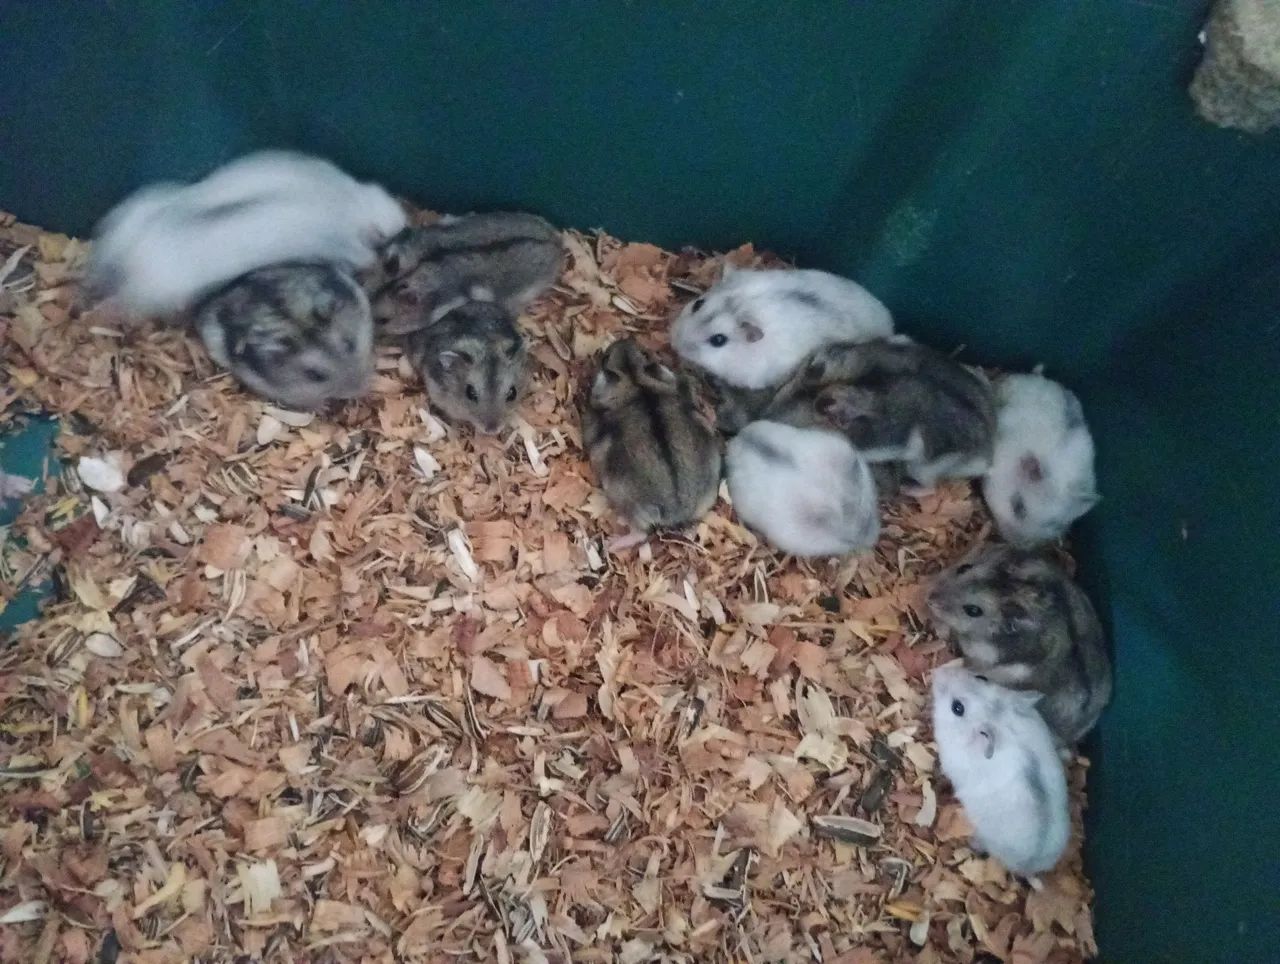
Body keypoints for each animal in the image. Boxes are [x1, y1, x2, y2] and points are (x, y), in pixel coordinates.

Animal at [581, 338, 722, 540]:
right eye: (644, 351)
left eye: (605, 360)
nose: (623, 340)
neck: (636, 382)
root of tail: (677, 512)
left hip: (623, 499)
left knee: (641, 533)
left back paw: (612, 541)